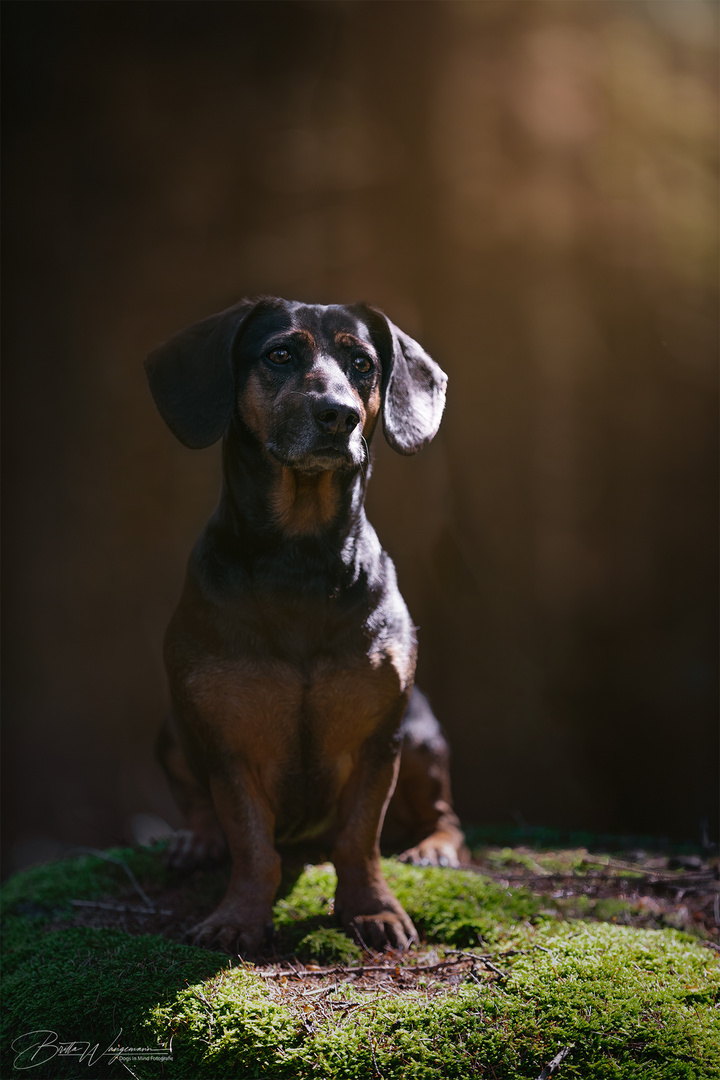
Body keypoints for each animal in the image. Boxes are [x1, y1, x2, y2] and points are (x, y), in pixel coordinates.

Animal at [146, 295, 468, 954]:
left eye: (362, 362)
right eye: (279, 354)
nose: (338, 415)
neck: (299, 559)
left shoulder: (380, 738)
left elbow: (359, 837)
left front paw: (372, 908)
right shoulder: (228, 742)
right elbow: (250, 842)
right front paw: (239, 915)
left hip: (422, 733)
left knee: (445, 817)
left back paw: (434, 848)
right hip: (173, 728)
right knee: (200, 807)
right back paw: (197, 838)